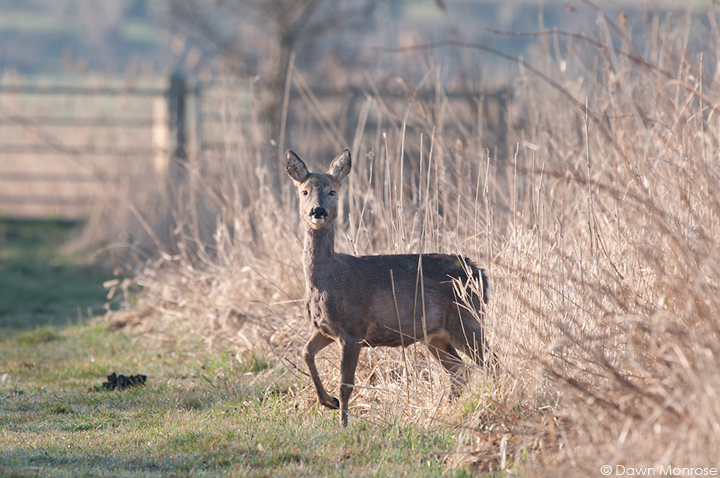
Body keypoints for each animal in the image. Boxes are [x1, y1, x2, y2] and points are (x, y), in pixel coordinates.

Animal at [286, 148, 493, 426]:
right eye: (304, 191)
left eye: (332, 191)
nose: (317, 212)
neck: (327, 280)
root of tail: (481, 274)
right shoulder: (326, 328)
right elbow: (306, 353)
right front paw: (329, 402)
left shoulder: (353, 330)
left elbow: (346, 384)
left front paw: (343, 423)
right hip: (435, 334)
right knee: (459, 371)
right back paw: (444, 412)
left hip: (465, 319)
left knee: (491, 363)